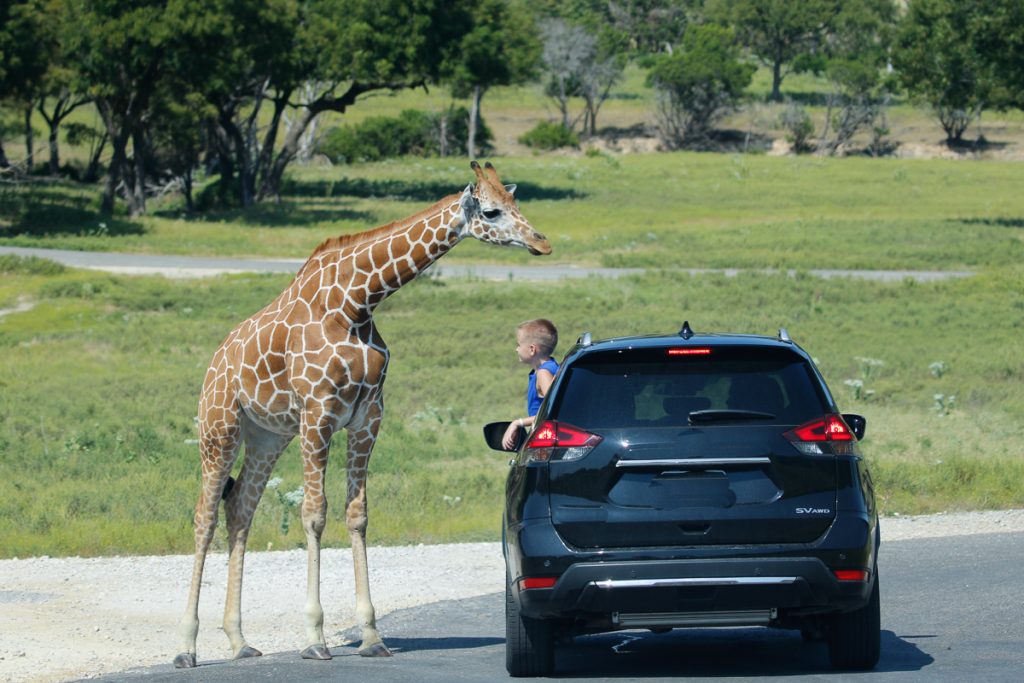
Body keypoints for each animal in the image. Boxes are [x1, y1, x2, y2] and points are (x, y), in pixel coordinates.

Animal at [174, 161, 552, 667]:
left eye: (516, 203)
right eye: (491, 211)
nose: (541, 242)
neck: (357, 302)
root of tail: (215, 361)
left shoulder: (367, 416)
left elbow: (357, 515)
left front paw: (372, 636)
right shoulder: (318, 413)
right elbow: (314, 514)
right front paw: (315, 638)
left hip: (267, 436)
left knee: (239, 510)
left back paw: (239, 641)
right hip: (220, 426)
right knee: (205, 516)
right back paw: (187, 647)